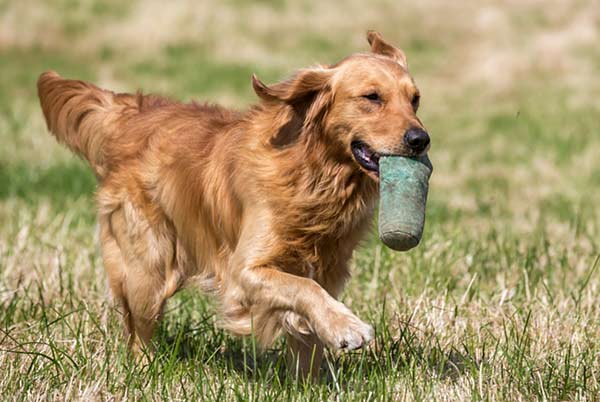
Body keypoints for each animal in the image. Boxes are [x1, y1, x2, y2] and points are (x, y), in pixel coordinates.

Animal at [37, 32, 428, 380]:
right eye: (372, 97)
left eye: (415, 100)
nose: (420, 139)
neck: (311, 172)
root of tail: (132, 113)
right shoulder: (244, 271)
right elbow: (303, 289)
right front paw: (347, 327)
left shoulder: (330, 268)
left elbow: (308, 328)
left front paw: (308, 380)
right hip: (149, 268)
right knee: (138, 332)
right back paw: (144, 373)